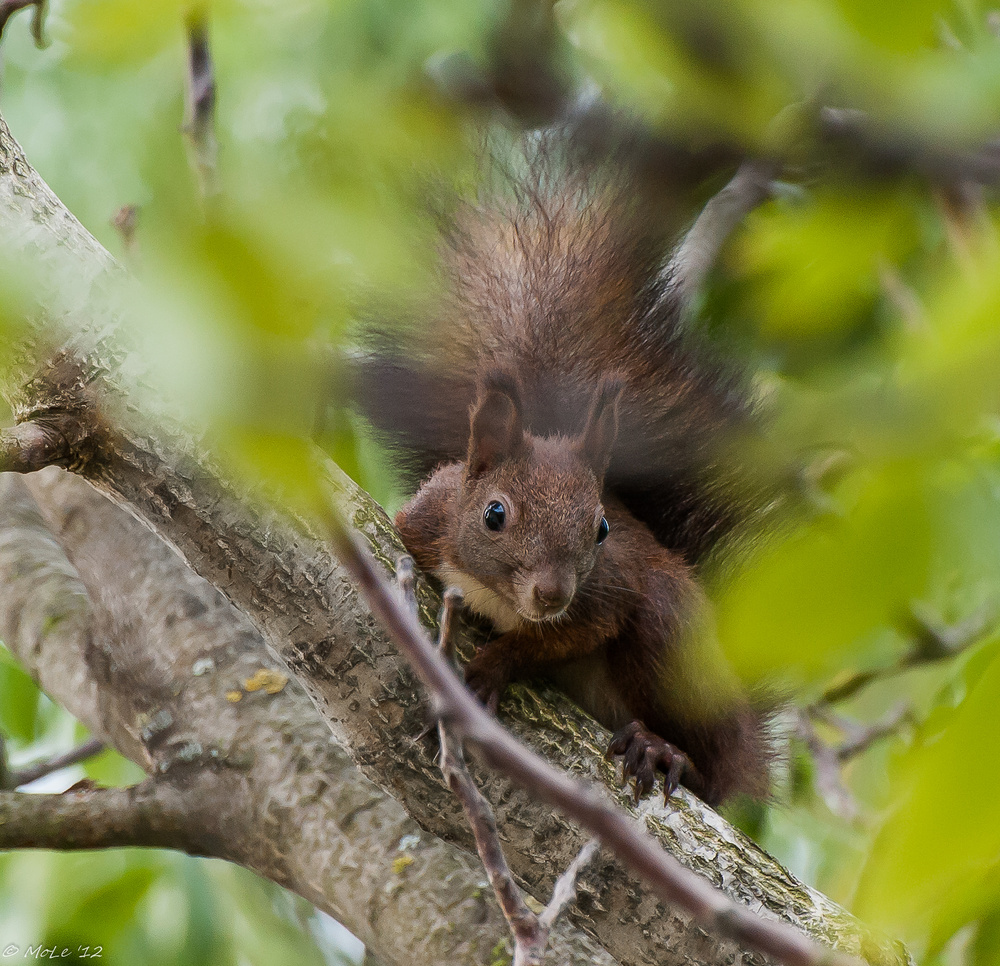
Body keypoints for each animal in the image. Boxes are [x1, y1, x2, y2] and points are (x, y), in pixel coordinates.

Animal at [356, 134, 776, 800]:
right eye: (494, 514)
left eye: (602, 528)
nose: (551, 592)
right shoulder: (425, 522)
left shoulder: (607, 591)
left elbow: (559, 637)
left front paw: (494, 665)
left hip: (674, 637)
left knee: (711, 769)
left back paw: (665, 751)